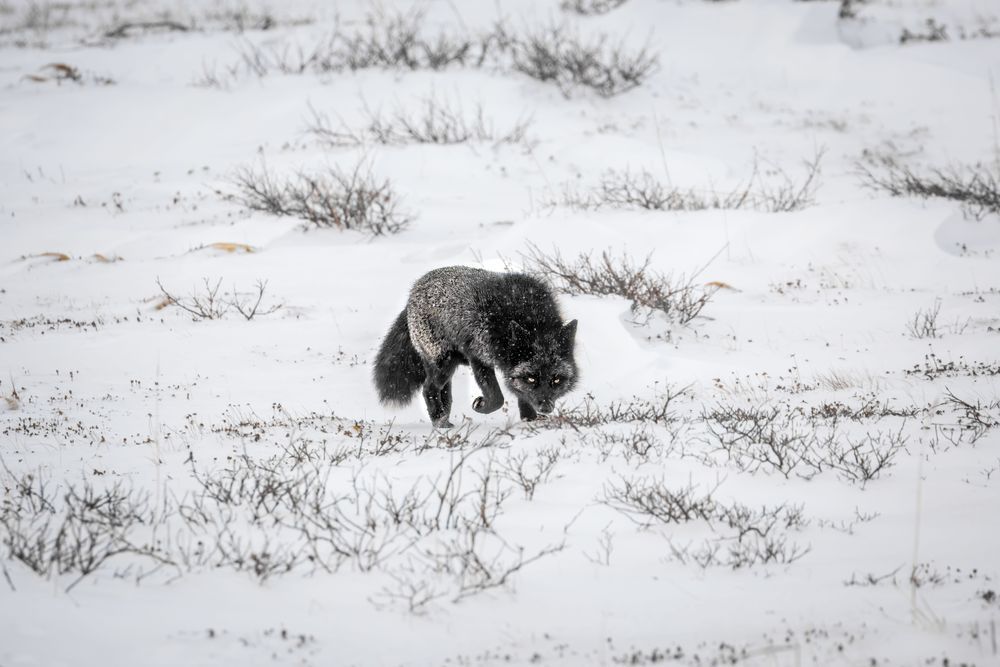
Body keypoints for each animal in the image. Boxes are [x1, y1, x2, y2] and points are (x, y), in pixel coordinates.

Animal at [373, 266, 579, 428]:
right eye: (531, 378)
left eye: (556, 379)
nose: (545, 407)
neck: (530, 317)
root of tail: (412, 293)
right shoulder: (478, 356)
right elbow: (496, 398)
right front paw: (481, 405)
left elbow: (521, 394)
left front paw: (530, 420)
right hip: (442, 363)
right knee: (428, 389)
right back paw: (439, 422)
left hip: (447, 367)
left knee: (444, 393)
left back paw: (444, 420)